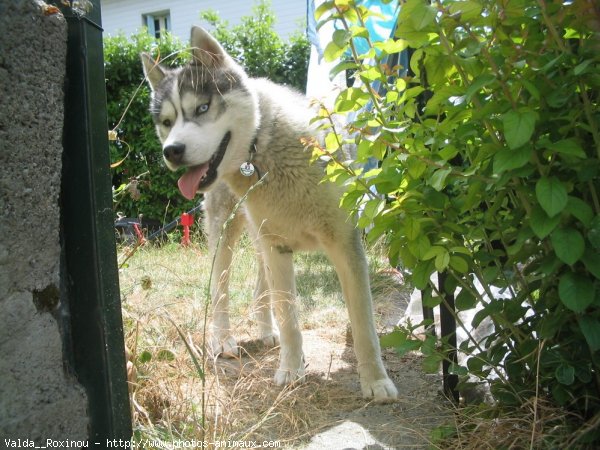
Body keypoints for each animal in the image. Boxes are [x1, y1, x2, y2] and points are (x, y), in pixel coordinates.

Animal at [141, 26, 398, 400]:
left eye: (202, 107)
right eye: (166, 122)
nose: (171, 150)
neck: (261, 147)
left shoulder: (343, 245)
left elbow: (364, 324)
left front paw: (376, 381)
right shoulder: (278, 248)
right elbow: (290, 317)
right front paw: (290, 371)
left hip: (261, 235)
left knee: (262, 286)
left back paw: (265, 329)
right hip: (225, 237)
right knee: (221, 290)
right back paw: (223, 339)